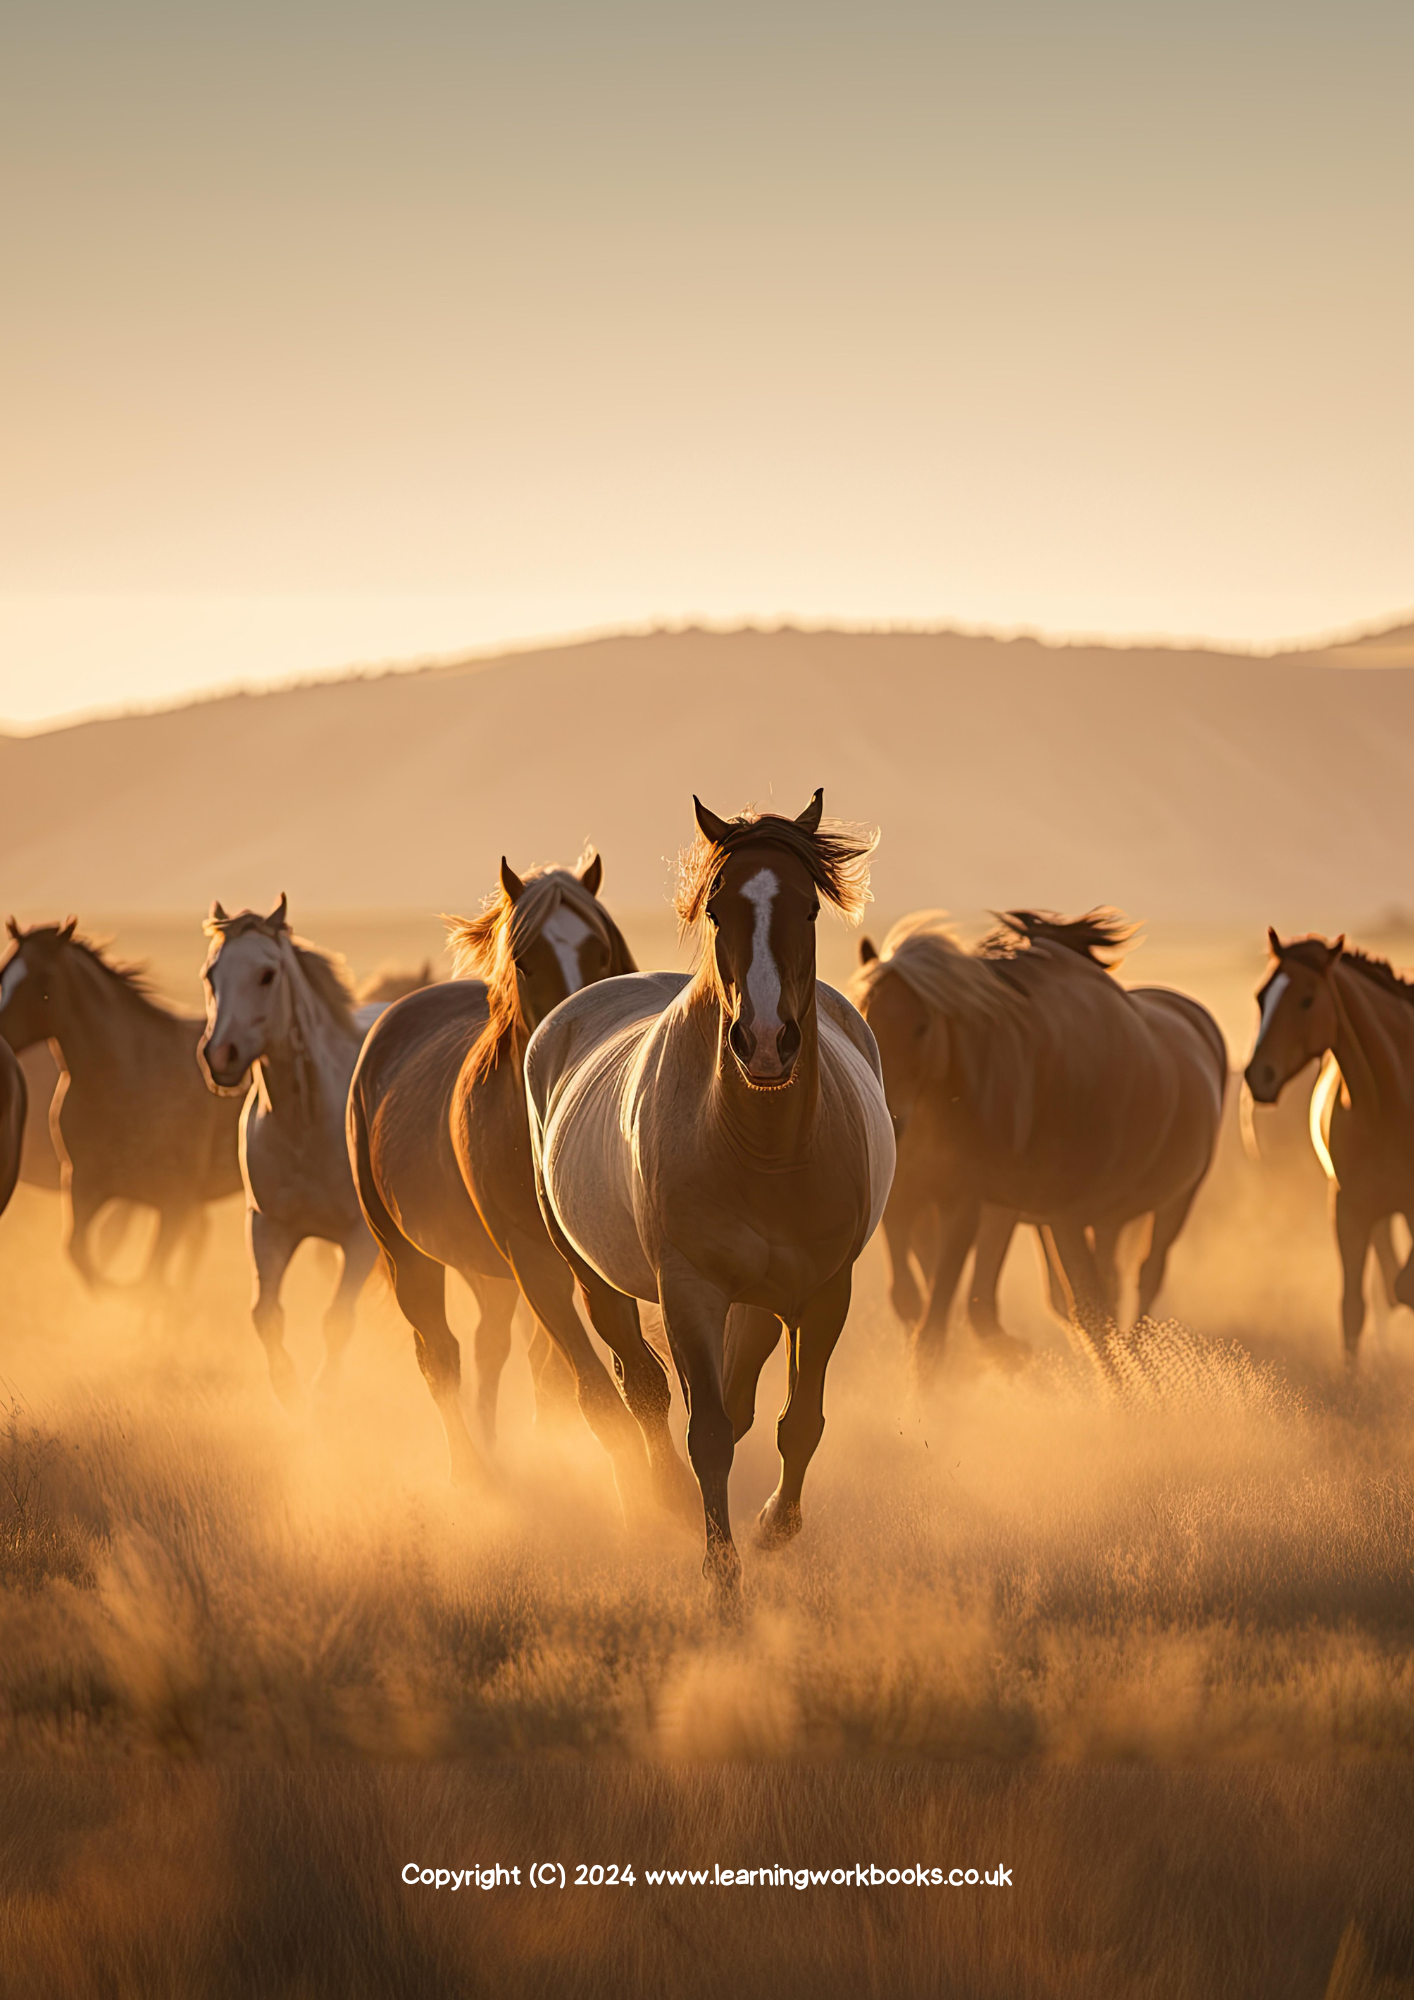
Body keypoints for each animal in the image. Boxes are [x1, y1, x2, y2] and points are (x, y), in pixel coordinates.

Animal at [0, 919, 244, 1289]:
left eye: (44, 981)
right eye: (4, 971)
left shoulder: (174, 1201)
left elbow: (150, 1277)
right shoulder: (86, 1188)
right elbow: (81, 1254)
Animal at [198, 896, 391, 1409]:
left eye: (267, 974)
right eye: (211, 974)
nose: (220, 1056)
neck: (306, 1126)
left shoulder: (360, 1240)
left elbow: (337, 1318)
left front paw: (323, 1394)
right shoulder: (269, 1228)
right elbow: (265, 1314)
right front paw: (288, 1392)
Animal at [349, 849, 693, 1506]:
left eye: (601, 951)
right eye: (526, 961)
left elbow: (620, 1374)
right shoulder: (536, 1263)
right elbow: (598, 1390)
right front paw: (648, 1500)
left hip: (489, 1275)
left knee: (494, 1349)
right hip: (409, 1255)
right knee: (441, 1357)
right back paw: (473, 1475)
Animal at [525, 791, 894, 1600]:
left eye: (809, 907)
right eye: (720, 910)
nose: (765, 1042)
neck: (764, 1146)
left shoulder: (825, 1293)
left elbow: (799, 1421)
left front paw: (773, 1528)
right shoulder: (690, 1290)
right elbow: (709, 1433)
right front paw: (720, 1577)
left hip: (759, 1303)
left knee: (738, 1395)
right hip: (593, 1276)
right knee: (643, 1386)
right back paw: (661, 1497)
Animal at [853, 909, 1226, 1369]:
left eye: (923, 1028)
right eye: (865, 1018)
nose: (890, 1120)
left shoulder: (987, 1204)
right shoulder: (917, 1201)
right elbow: (920, 1302)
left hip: (1175, 1202)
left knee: (1143, 1280)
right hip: (1099, 1218)